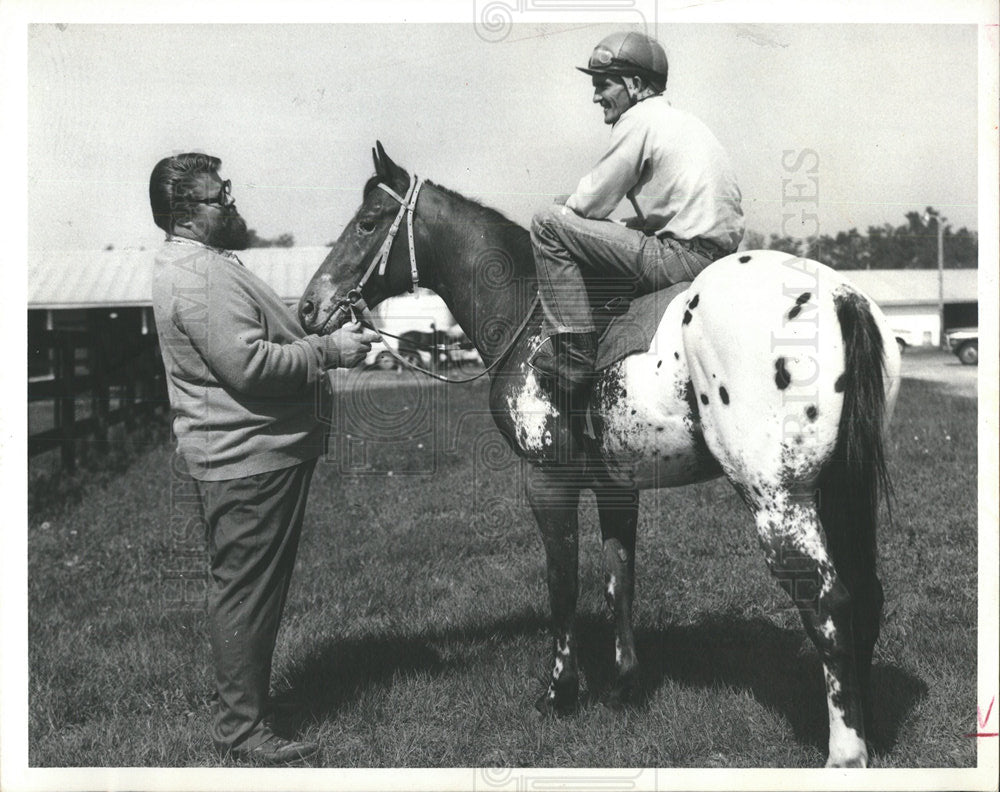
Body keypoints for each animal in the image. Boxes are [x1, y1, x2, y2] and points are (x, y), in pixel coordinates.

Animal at [296, 142, 900, 768]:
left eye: (368, 223)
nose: (309, 308)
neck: (531, 317)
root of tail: (837, 297)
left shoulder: (547, 481)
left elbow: (562, 585)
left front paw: (558, 694)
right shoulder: (617, 487)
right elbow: (618, 581)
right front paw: (625, 686)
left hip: (778, 498)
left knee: (828, 602)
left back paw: (845, 752)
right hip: (839, 489)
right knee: (864, 594)